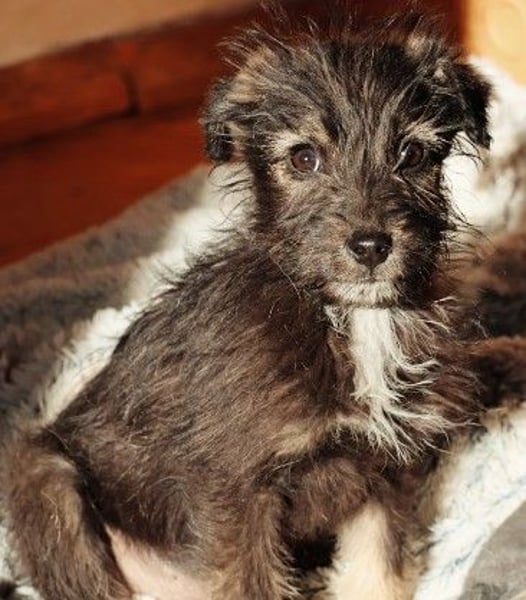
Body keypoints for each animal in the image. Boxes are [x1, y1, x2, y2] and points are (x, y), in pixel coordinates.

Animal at [4, 10, 523, 600]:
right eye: (304, 158)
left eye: (411, 154)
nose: (371, 246)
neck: (352, 320)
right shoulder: (236, 491)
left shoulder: (384, 469)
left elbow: (379, 571)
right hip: (47, 478)